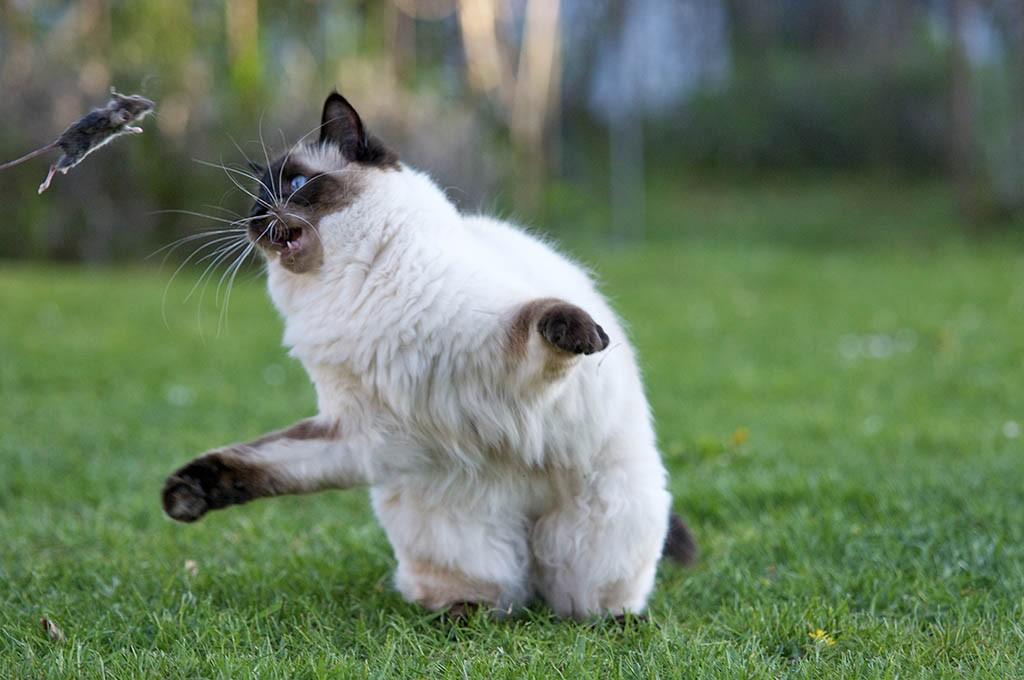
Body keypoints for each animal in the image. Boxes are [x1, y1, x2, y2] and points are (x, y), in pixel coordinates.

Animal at [161, 91, 696, 622]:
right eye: (256, 198)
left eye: (295, 183)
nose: (253, 221)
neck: (344, 289)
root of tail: (527, 513)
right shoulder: (357, 432)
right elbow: (260, 457)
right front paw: (183, 496)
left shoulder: (498, 353)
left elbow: (538, 317)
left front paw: (585, 333)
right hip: (458, 532)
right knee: (505, 592)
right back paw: (460, 618)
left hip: (595, 532)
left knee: (582, 601)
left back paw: (612, 624)